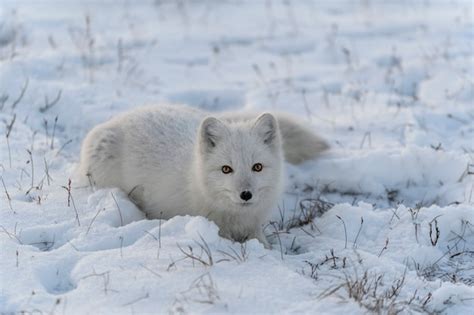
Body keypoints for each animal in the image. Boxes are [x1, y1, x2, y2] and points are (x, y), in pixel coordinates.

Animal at [79, 105, 328, 248]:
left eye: (257, 167)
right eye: (226, 169)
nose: (246, 194)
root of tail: (122, 116)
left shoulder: (254, 226)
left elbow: (263, 243)